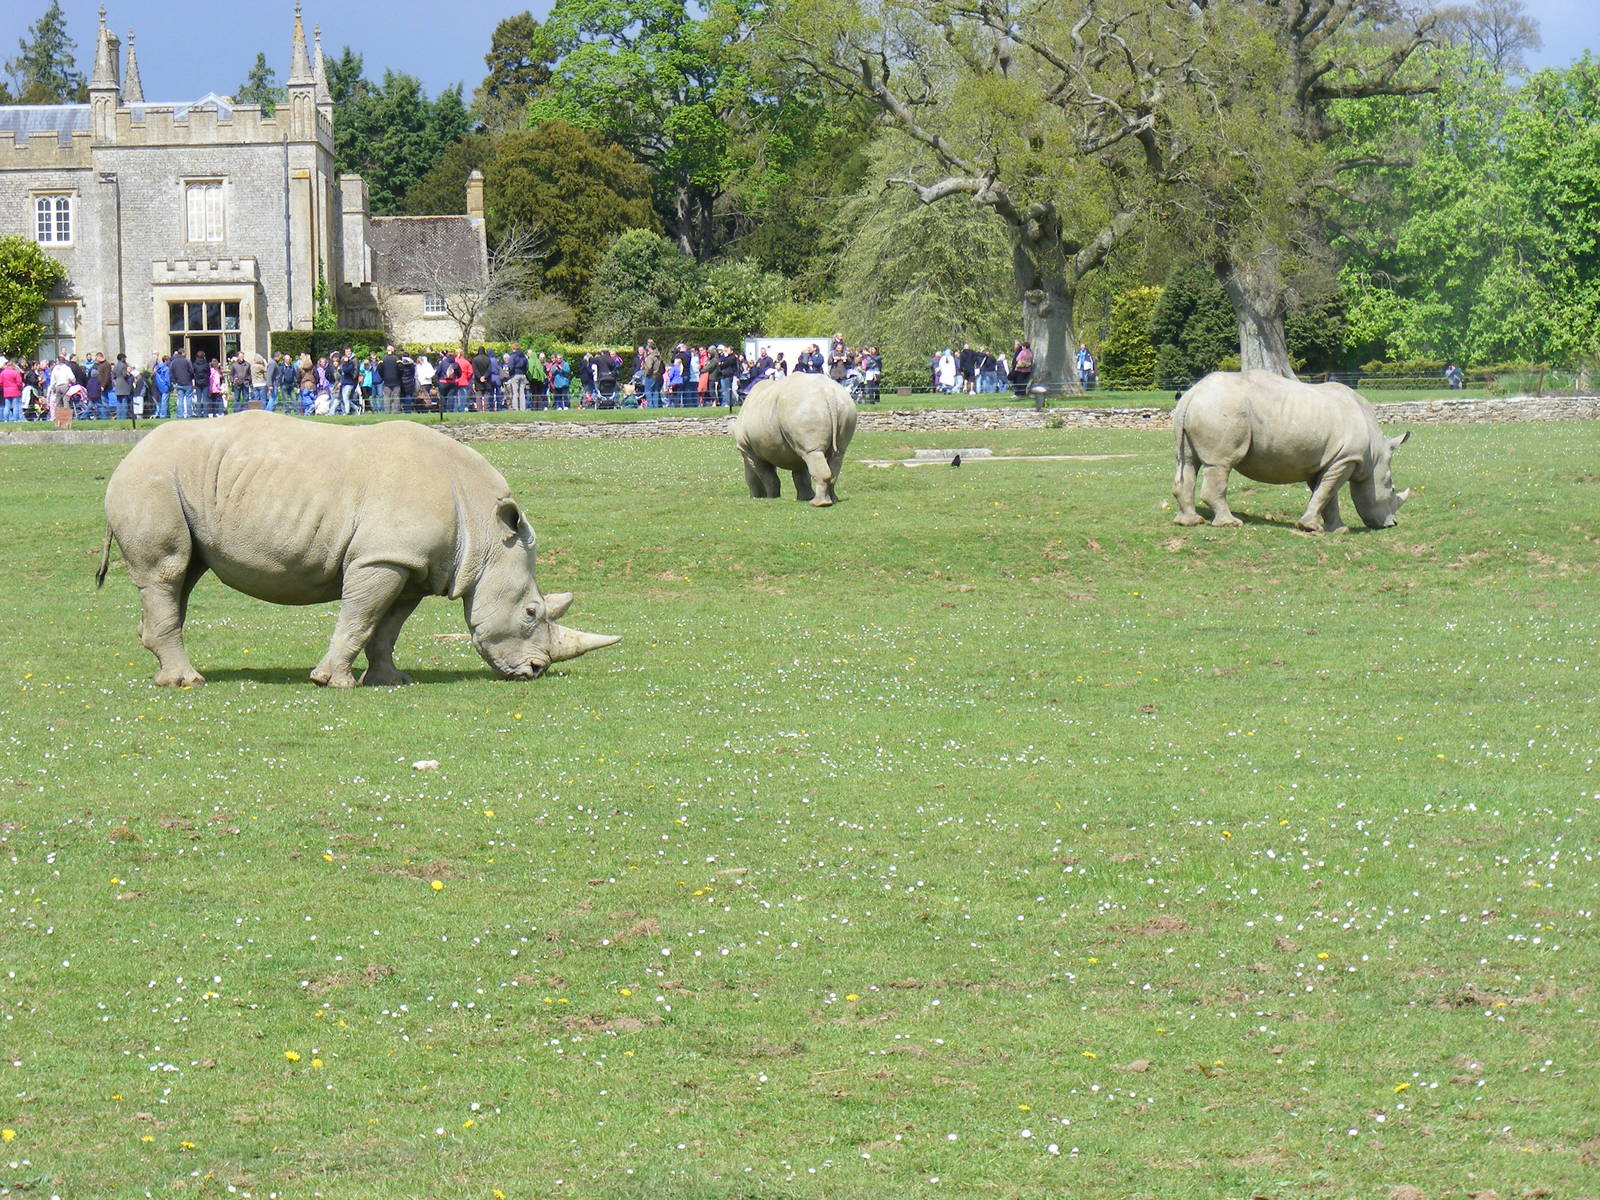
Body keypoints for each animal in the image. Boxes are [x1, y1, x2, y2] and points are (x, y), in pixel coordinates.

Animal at [96, 410, 618, 687]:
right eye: (531, 612)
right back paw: (187, 682)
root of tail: (128, 454)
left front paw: (391, 681)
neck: (485, 530)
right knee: (167, 571)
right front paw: (333, 682)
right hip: (153, 478)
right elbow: (360, 617)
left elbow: (386, 627)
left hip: (181, 483)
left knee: (183, 574)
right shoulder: (381, 557)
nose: (534, 670)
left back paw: (166, 667)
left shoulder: (412, 564)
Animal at [733, 373, 858, 506]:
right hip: (844, 405)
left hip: (803, 407)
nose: (753, 497)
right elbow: (800, 476)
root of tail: (827, 392)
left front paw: (771, 498)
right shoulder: (794, 445)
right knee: (837, 454)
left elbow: (766, 476)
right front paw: (804, 497)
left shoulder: (747, 449)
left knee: (813, 453)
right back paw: (832, 500)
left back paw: (817, 504)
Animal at [1172, 370, 1412, 532]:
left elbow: (1326, 494)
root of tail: (1192, 394)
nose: (1393, 524)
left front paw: (1337, 529)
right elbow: (1327, 492)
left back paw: (1189, 522)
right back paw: (1230, 523)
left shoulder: (1328, 461)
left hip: (1202, 409)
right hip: (1222, 408)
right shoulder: (1346, 459)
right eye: (1391, 488)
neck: (1375, 454)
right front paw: (1310, 528)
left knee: (1187, 462)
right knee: (1221, 464)